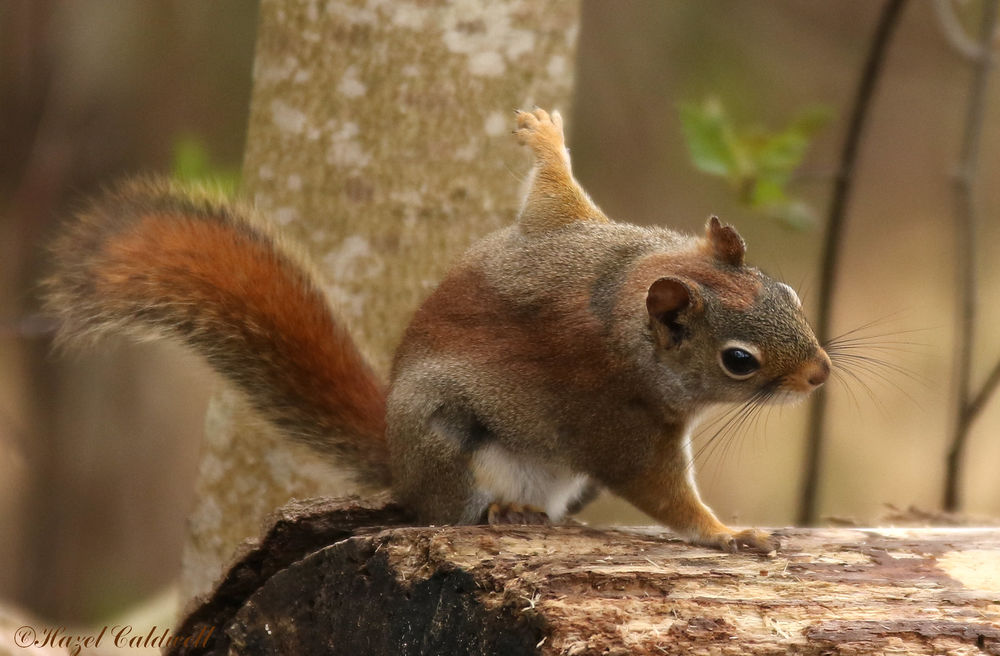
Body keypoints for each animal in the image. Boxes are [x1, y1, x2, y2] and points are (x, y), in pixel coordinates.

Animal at [43, 108, 831, 554]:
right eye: (738, 360)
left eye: (788, 292)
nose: (821, 373)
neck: (624, 290)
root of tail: (399, 461)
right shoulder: (619, 424)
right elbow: (664, 494)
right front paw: (729, 534)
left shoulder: (582, 234)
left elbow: (555, 200)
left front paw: (545, 138)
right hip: (452, 447)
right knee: (444, 514)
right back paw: (503, 513)